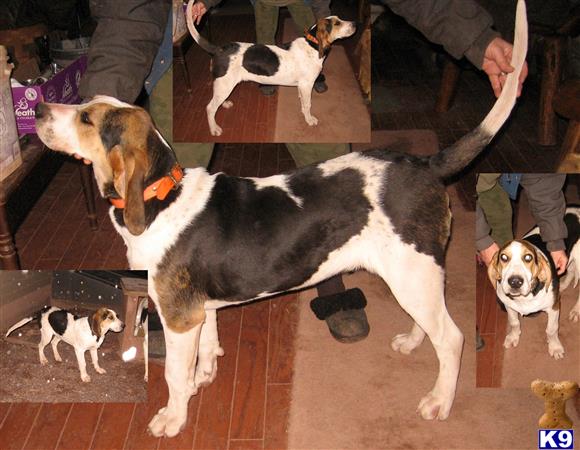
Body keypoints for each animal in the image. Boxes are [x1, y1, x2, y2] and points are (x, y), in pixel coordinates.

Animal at [187, 0, 358, 137]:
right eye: (337, 23)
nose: (356, 23)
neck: (312, 45)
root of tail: (219, 49)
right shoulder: (306, 85)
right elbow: (308, 105)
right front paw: (309, 120)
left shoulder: (302, 86)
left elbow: (302, 102)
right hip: (225, 85)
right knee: (210, 108)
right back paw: (214, 129)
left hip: (225, 86)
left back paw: (226, 103)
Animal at [488, 207, 580, 358]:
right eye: (503, 257)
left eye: (528, 257)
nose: (515, 282)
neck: (524, 298)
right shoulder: (509, 306)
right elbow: (514, 323)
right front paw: (513, 337)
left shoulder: (554, 308)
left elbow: (551, 329)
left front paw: (555, 347)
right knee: (571, 272)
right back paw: (562, 286)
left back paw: (576, 311)